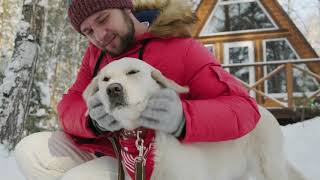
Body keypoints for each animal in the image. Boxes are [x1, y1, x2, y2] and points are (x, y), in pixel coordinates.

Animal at [82, 57, 304, 180]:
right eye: (105, 79)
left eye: (132, 72)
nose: (113, 89)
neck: (141, 137)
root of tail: (262, 109)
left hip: (269, 167)